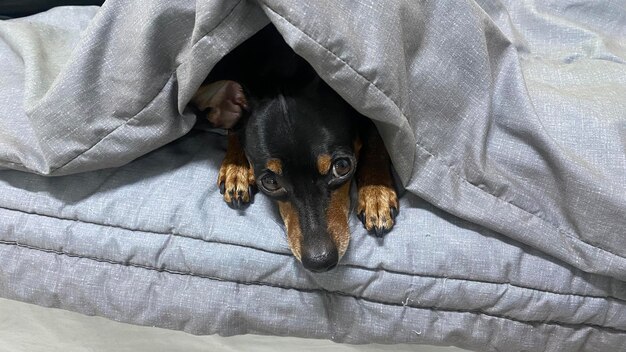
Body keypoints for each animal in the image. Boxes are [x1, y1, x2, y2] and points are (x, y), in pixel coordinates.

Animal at [190, 24, 398, 272]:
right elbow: (234, 127)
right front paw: (236, 166)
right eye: (270, 182)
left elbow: (377, 135)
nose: (320, 261)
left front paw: (376, 191)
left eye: (342, 167)